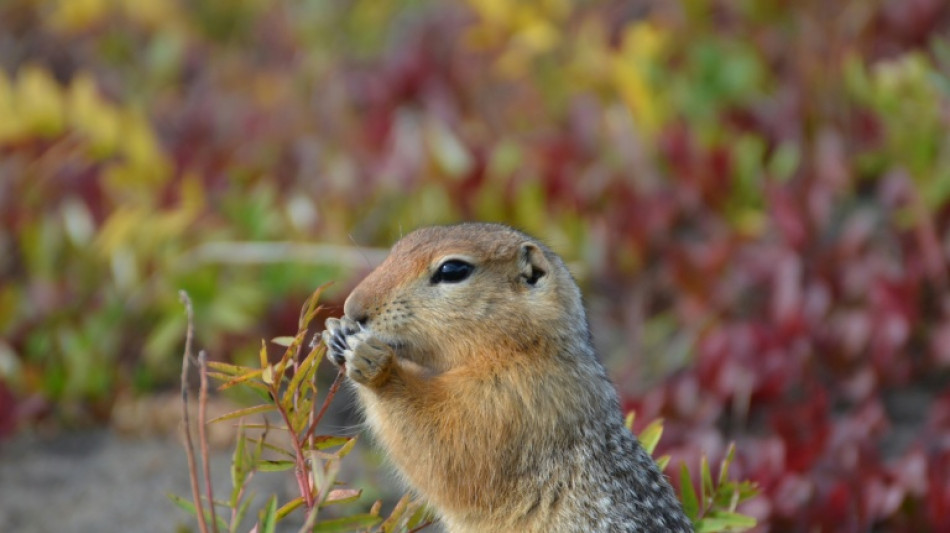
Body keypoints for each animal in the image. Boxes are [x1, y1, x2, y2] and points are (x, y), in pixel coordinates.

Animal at [322, 223, 692, 532]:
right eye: (399, 246)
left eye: (452, 270)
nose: (353, 308)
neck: (525, 348)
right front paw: (334, 333)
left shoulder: (515, 399)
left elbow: (446, 447)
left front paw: (373, 361)